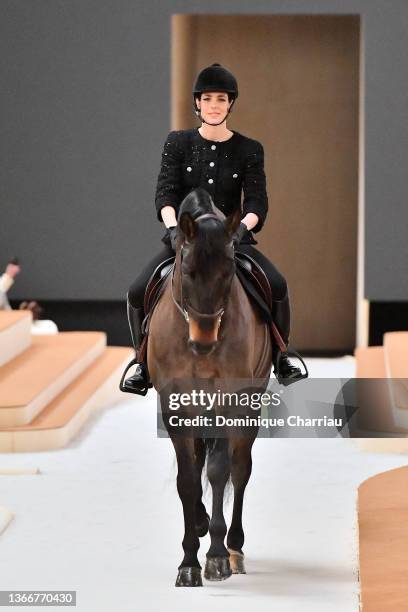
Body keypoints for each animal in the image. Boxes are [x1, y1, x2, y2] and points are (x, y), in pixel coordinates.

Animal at [147, 188, 274, 588]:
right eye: (187, 272)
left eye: (229, 273)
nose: (203, 344)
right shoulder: (175, 404)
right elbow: (187, 480)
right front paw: (188, 561)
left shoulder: (228, 400)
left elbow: (219, 471)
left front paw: (215, 557)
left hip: (250, 403)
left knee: (240, 468)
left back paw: (234, 548)